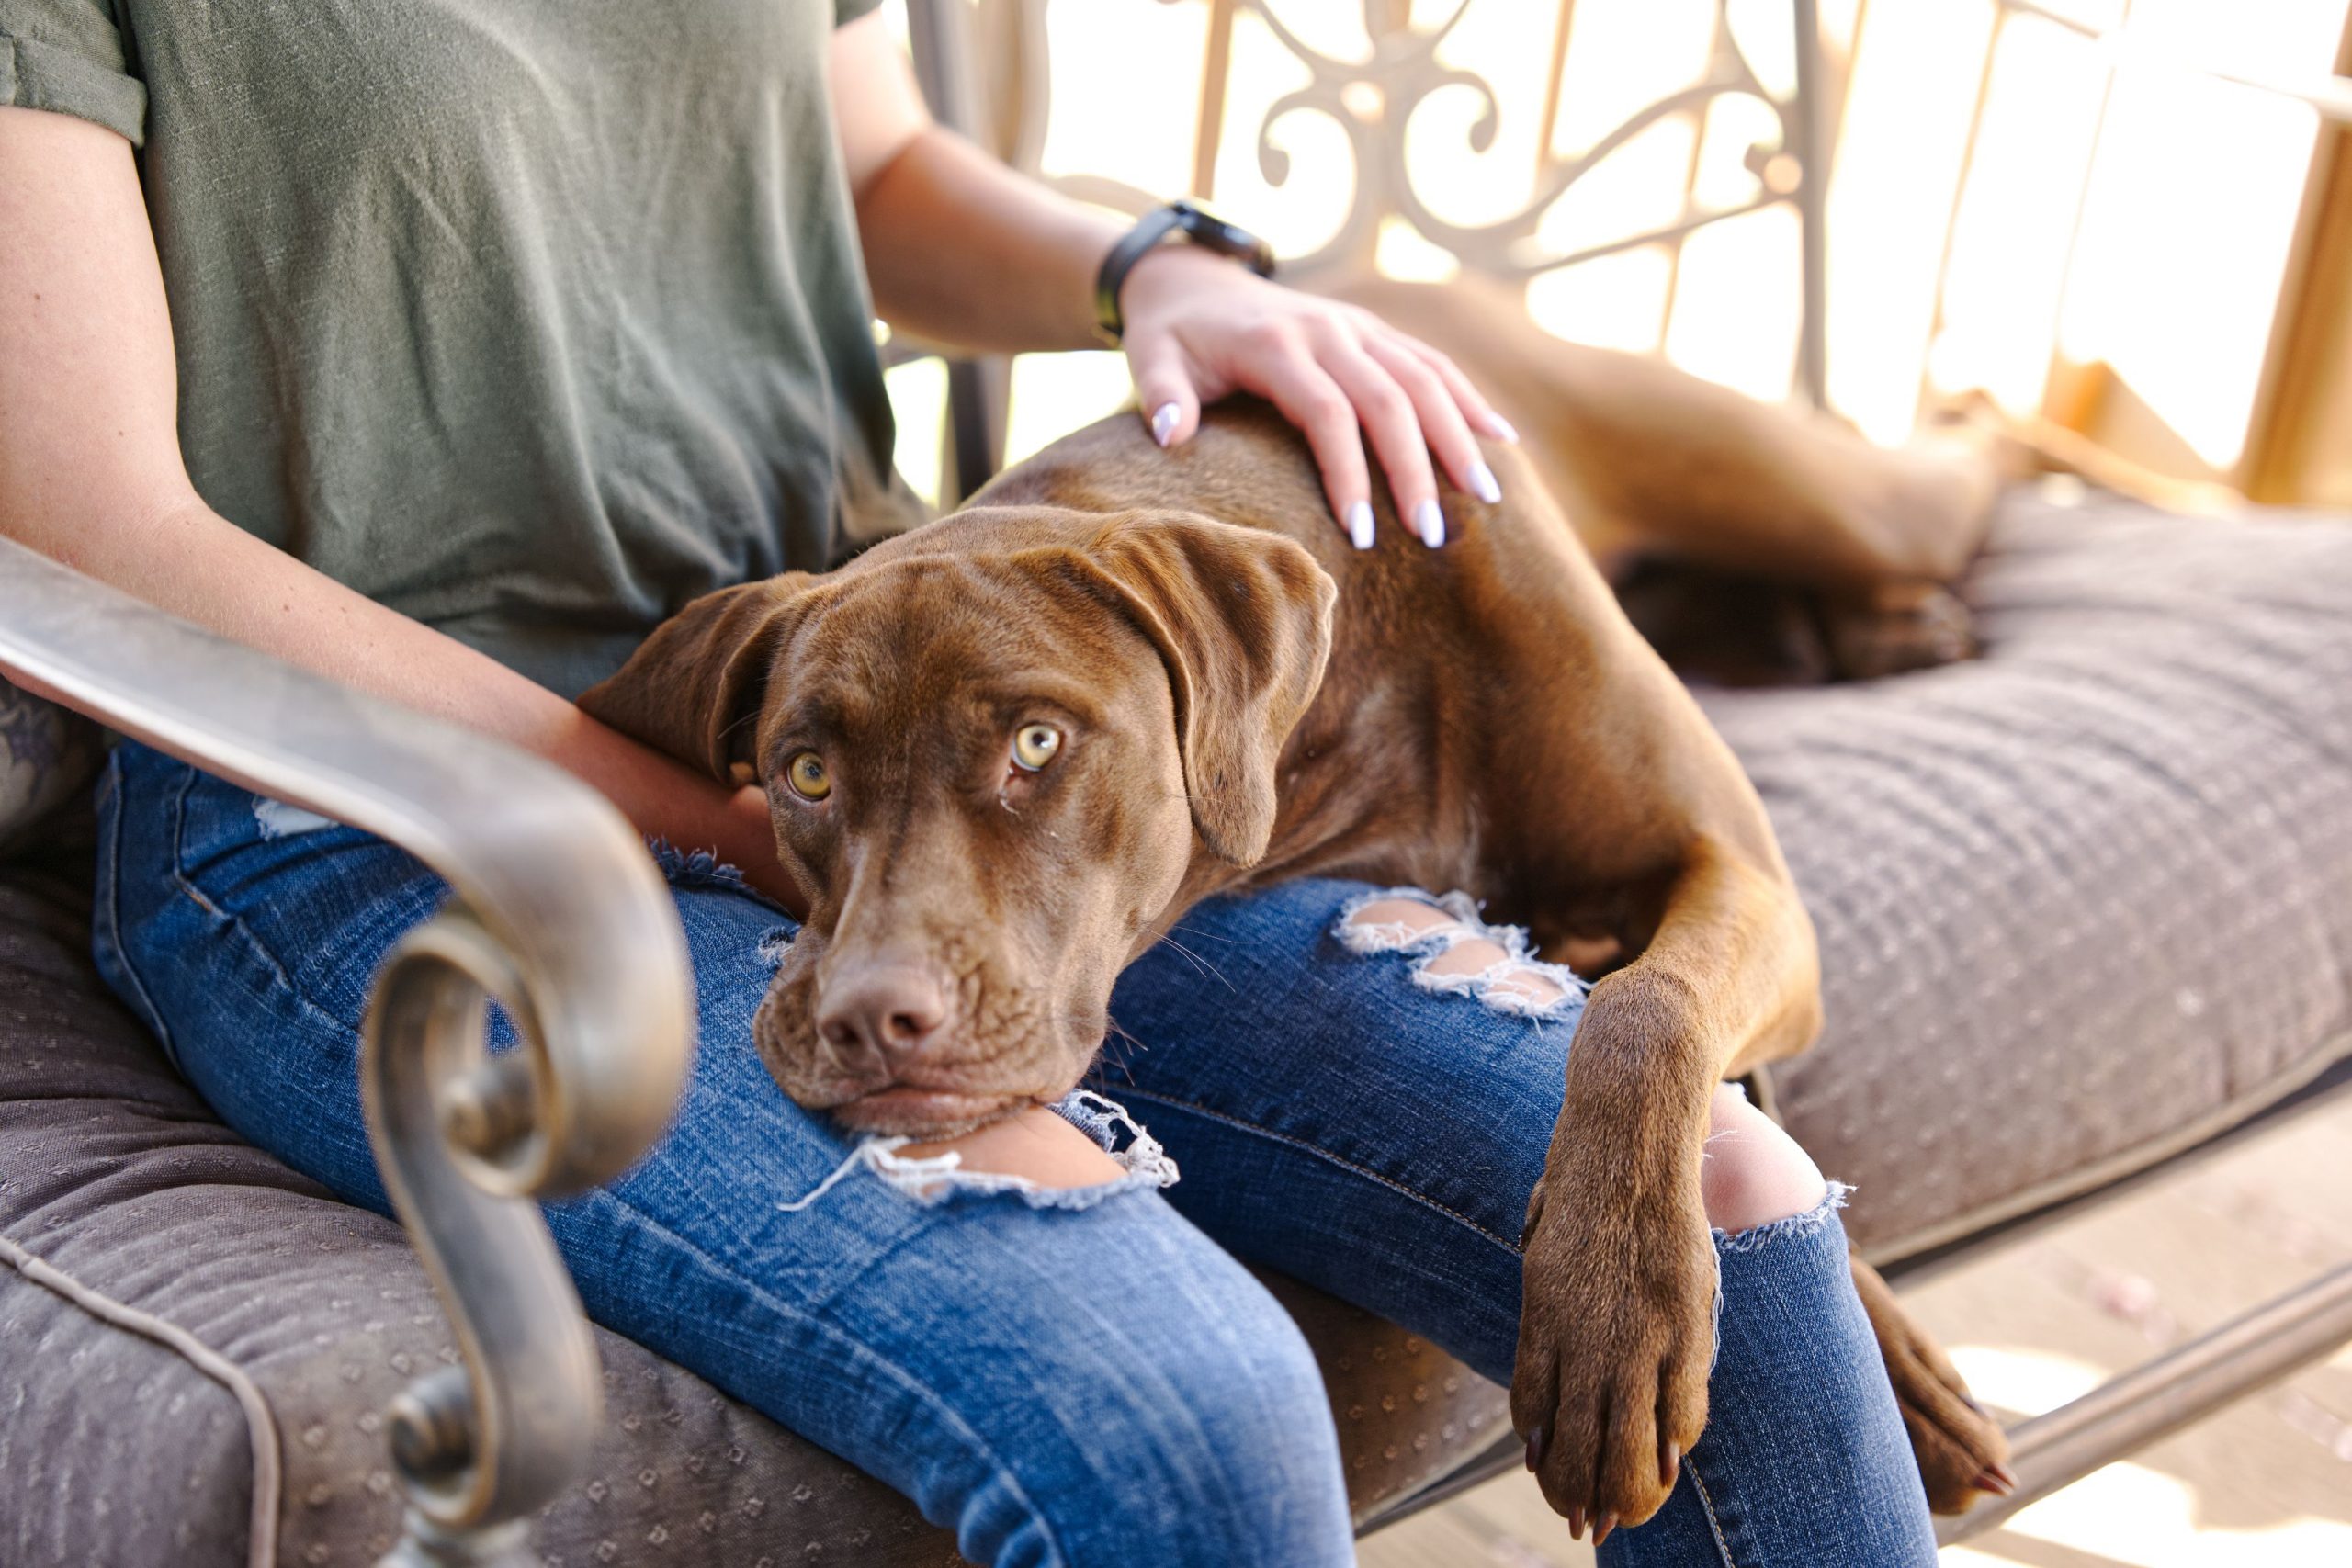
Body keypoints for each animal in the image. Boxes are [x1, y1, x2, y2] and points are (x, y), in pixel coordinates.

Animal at [578, 333, 2013, 1532]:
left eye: (1035, 743)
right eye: (805, 773)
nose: (869, 1019)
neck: (1375, 678)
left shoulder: (1746, 877)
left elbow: (1648, 1011)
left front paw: (1617, 1310)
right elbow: (1676, 1037)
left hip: (1830, 498)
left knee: (1948, 478)